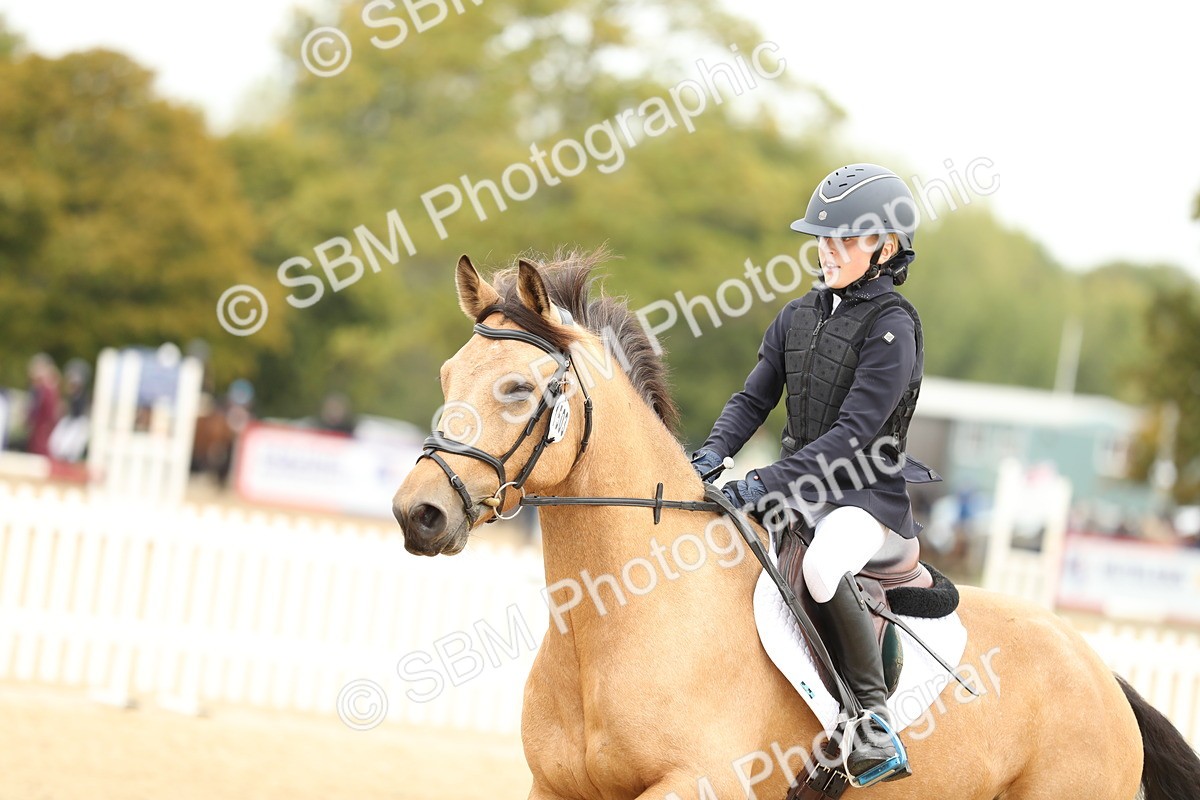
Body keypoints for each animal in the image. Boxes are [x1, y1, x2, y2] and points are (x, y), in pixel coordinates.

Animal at [392, 249, 1199, 800]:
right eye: (446, 378)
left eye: (517, 388)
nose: (418, 514)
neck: (616, 621)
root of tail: (1100, 671)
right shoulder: (557, 789)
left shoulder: (694, 783)